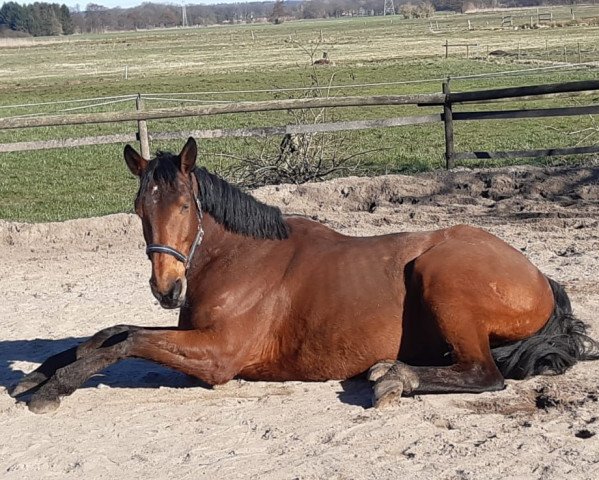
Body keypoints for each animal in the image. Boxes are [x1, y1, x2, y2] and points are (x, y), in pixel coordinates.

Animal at [10, 137, 599, 414]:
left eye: (184, 205)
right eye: (139, 208)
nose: (165, 289)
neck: (240, 259)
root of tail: (540, 277)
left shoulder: (219, 356)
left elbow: (126, 342)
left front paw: (54, 388)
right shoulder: (190, 333)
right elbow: (108, 334)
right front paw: (37, 373)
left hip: (441, 276)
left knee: (484, 374)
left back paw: (393, 377)